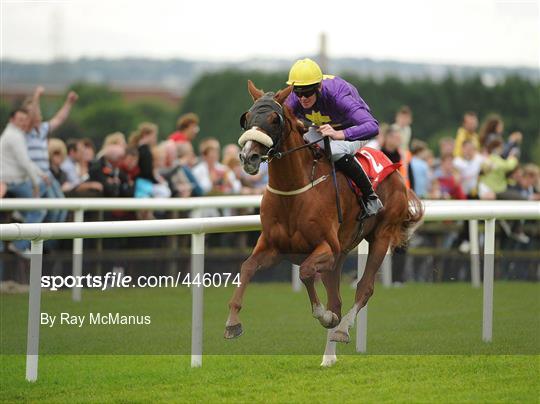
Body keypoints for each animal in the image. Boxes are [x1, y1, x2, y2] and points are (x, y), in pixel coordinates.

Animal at [226, 80, 424, 364]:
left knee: (364, 288)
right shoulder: (275, 248)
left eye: (275, 119)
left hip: (380, 236)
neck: (294, 192)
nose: (247, 157)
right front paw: (232, 322)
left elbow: (307, 273)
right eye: (247, 117)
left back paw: (341, 329)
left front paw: (325, 317)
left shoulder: (326, 248)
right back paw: (328, 357)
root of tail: (395, 167)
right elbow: (247, 267)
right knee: (337, 299)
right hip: (340, 255)